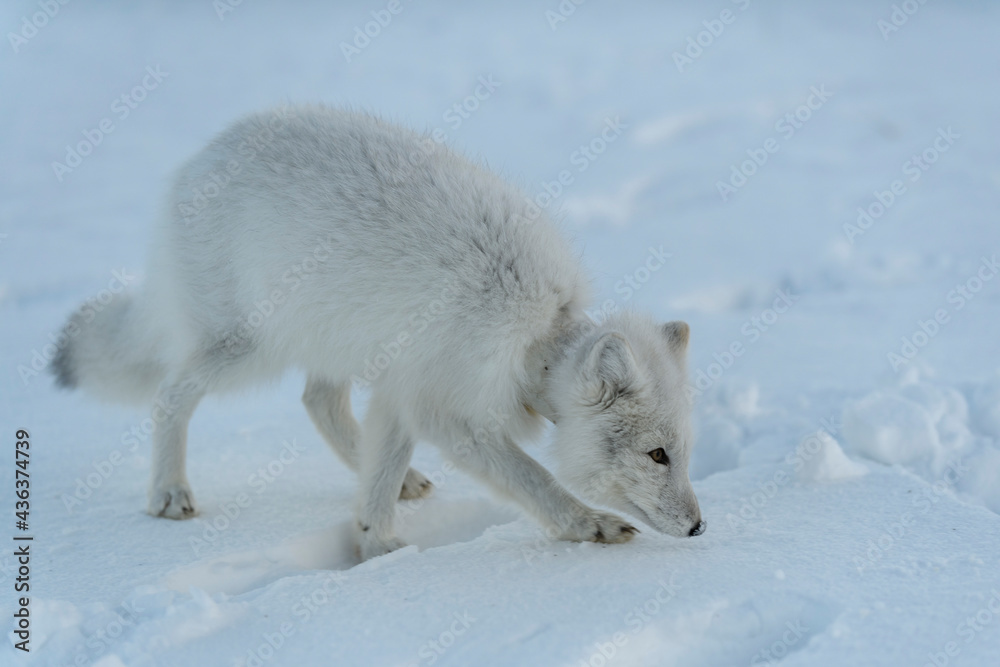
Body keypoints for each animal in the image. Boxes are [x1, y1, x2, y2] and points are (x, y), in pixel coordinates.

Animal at [52, 105, 704, 561]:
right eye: (657, 454)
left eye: (685, 451)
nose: (701, 527)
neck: (535, 340)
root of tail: (199, 159)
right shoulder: (448, 411)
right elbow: (534, 478)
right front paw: (588, 525)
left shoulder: (402, 392)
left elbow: (377, 483)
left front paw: (374, 552)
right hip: (247, 350)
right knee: (171, 394)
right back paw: (167, 493)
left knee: (318, 400)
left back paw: (400, 480)